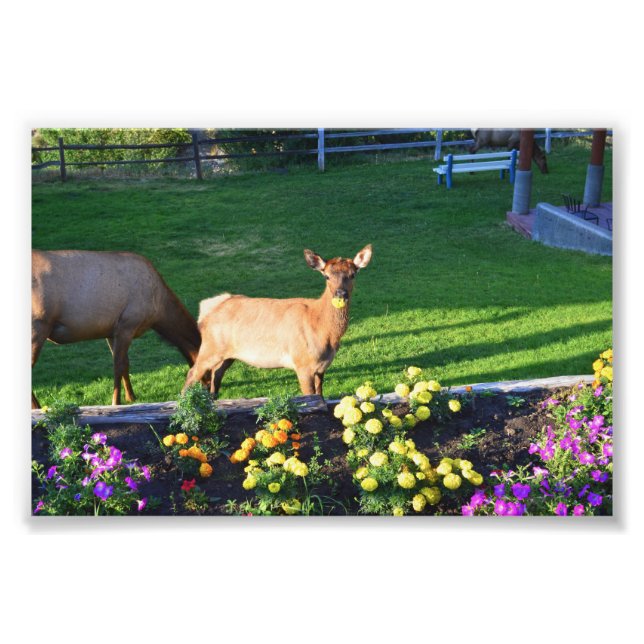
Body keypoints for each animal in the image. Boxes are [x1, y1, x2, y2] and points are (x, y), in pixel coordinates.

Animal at [32, 250, 202, 408]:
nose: (208, 394)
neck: (158, 313)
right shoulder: (127, 325)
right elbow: (118, 365)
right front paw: (116, 402)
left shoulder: (112, 331)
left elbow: (125, 363)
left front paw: (131, 396)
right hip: (39, 326)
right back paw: (38, 408)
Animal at [183, 244, 373, 398]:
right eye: (326, 276)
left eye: (353, 274)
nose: (341, 294)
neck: (324, 332)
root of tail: (206, 309)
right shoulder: (302, 362)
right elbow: (310, 396)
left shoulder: (321, 368)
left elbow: (321, 396)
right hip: (210, 347)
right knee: (192, 373)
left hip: (227, 354)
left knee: (216, 375)